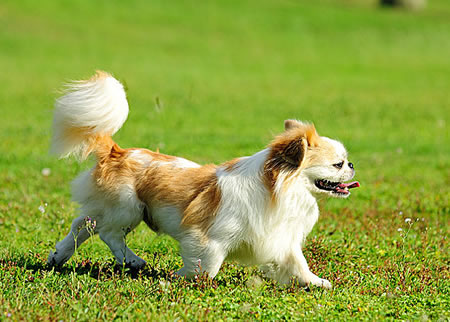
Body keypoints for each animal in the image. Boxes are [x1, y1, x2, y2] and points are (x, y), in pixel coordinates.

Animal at [48, 71, 358, 290]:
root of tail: (117, 151)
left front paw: (316, 282)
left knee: (83, 225)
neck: (282, 191)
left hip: (112, 209)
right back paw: (133, 261)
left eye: (345, 161)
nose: (353, 166)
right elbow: (208, 266)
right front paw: (180, 277)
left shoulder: (280, 240)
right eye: (338, 164)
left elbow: (297, 264)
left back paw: (58, 256)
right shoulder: (209, 238)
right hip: (128, 208)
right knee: (107, 233)